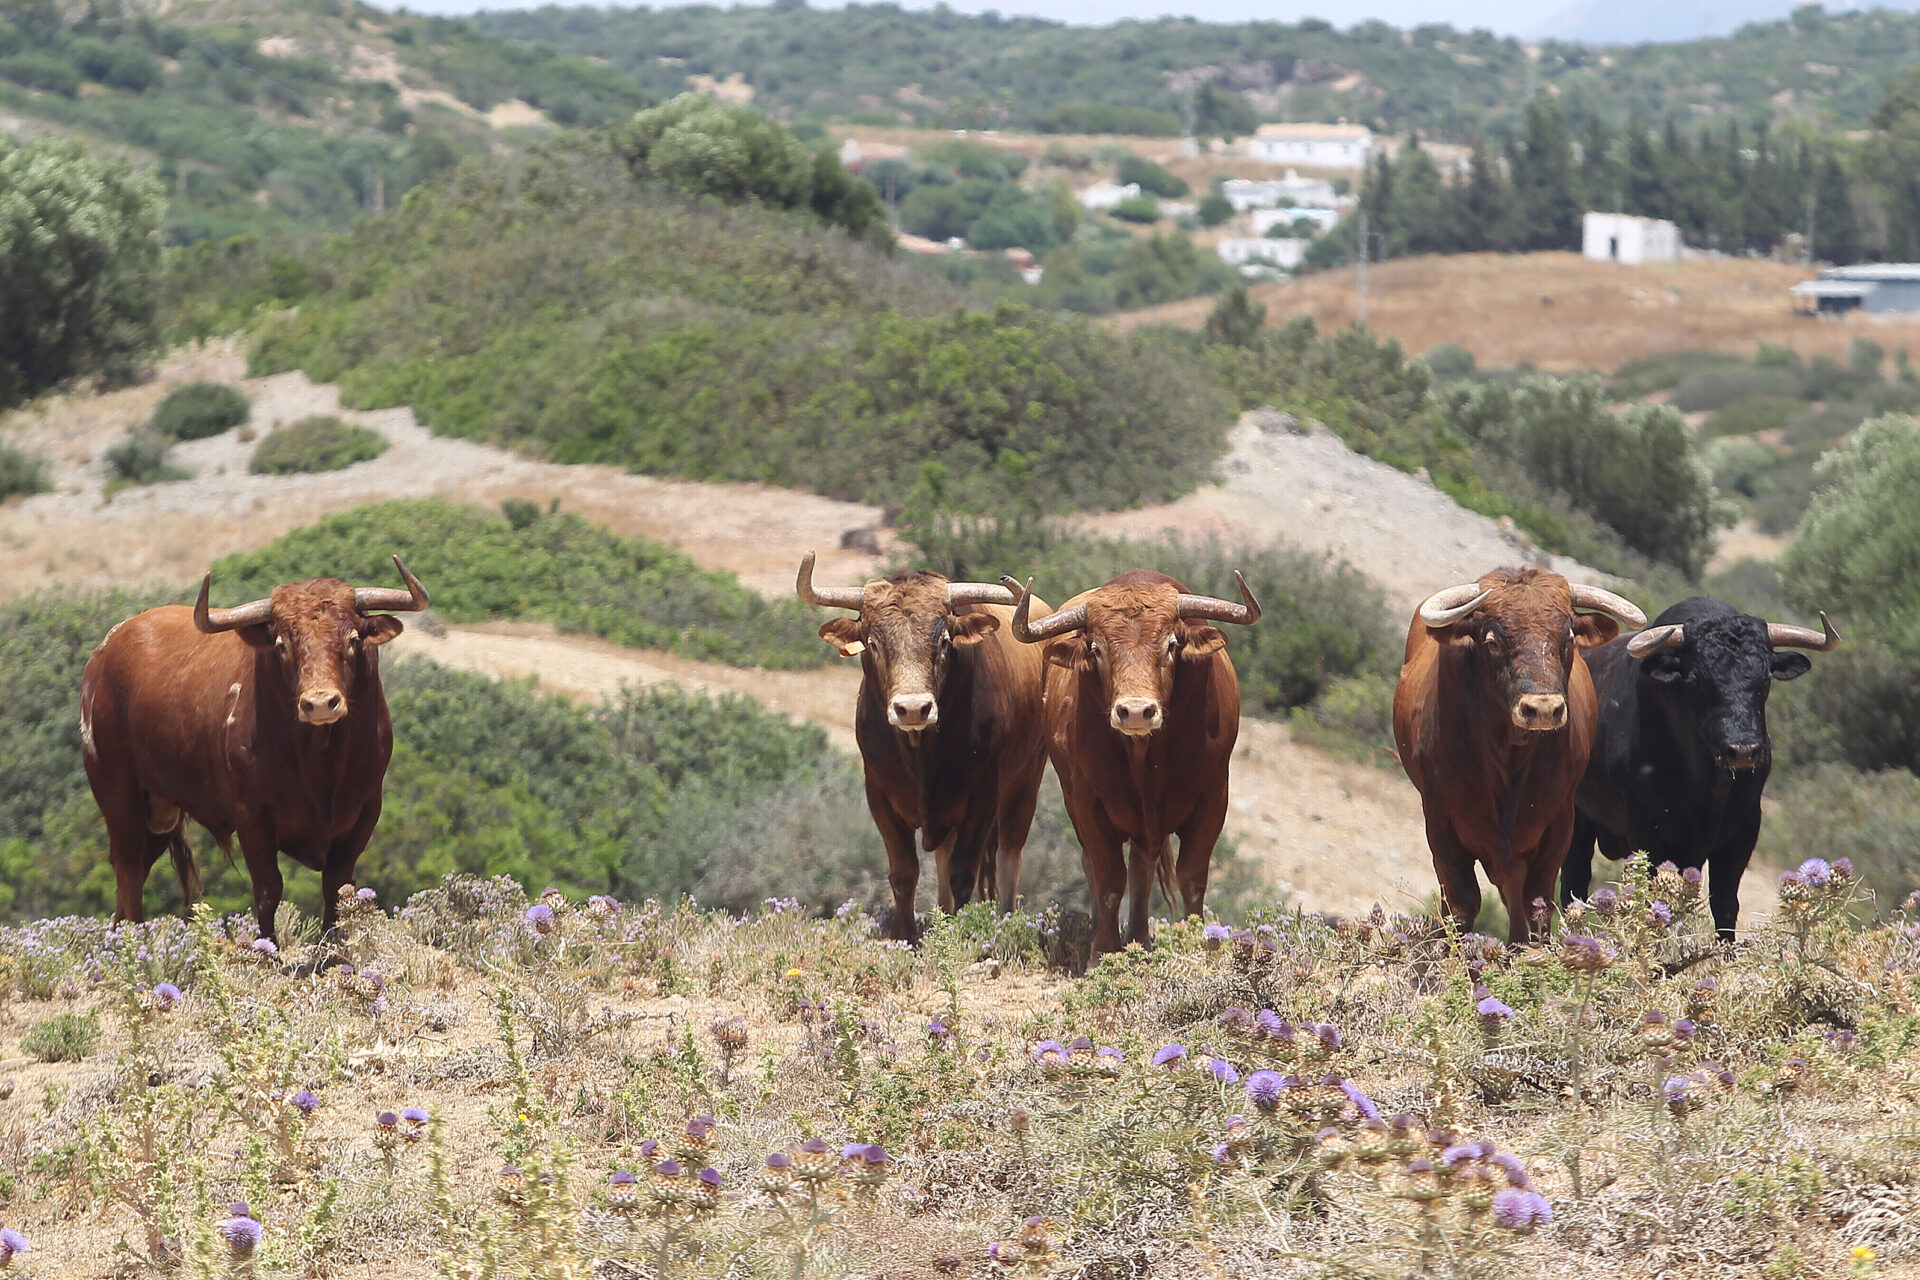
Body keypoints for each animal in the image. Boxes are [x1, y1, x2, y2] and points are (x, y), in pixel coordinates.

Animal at [79, 558, 430, 943]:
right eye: (281, 645)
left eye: (353, 639)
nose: (320, 703)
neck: (321, 764)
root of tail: (106, 651)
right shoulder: (252, 815)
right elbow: (268, 889)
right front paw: (268, 948)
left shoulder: (366, 809)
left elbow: (338, 888)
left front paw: (333, 949)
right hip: (116, 791)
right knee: (127, 868)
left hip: (159, 811)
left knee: (135, 873)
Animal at [796, 552, 1050, 943]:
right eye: (873, 643)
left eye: (944, 640)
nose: (913, 708)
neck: (920, 752)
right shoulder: (879, 794)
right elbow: (905, 872)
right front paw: (905, 936)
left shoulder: (983, 795)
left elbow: (964, 871)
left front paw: (962, 931)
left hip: (1025, 780)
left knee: (1008, 856)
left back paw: (1006, 918)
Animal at [1002, 569, 1260, 956]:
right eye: (1096, 649)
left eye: (1171, 645)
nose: (1136, 711)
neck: (1146, 758)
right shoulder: (1088, 803)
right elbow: (1109, 877)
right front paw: (1104, 949)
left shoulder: (1214, 797)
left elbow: (1192, 876)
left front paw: (1198, 939)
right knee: (1101, 866)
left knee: (1143, 867)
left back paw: (1139, 935)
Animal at [1392, 569, 1647, 944]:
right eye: (1492, 641)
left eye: (1568, 637)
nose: (1542, 709)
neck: (1507, 759)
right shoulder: (1439, 820)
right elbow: (1461, 903)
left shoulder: (1559, 820)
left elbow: (1536, 901)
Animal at [1560, 597, 1839, 940]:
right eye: (1696, 679)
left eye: (1765, 678)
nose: (1743, 750)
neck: (1707, 787)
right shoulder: (1650, 833)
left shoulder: (1743, 830)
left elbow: (1725, 903)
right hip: (1576, 823)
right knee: (1573, 885)